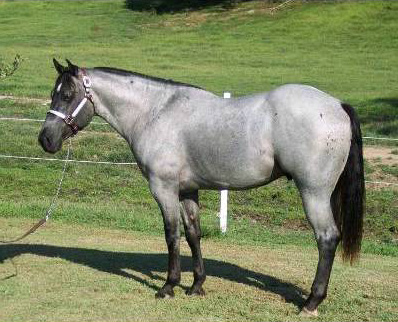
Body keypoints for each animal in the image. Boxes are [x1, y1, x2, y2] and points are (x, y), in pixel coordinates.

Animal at [38, 59, 364, 316]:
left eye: (67, 94)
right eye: (53, 94)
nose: (45, 139)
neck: (156, 112)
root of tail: (337, 105)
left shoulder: (164, 189)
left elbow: (172, 235)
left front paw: (168, 286)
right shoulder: (186, 191)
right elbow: (193, 233)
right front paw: (196, 286)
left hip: (314, 193)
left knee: (327, 238)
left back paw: (311, 302)